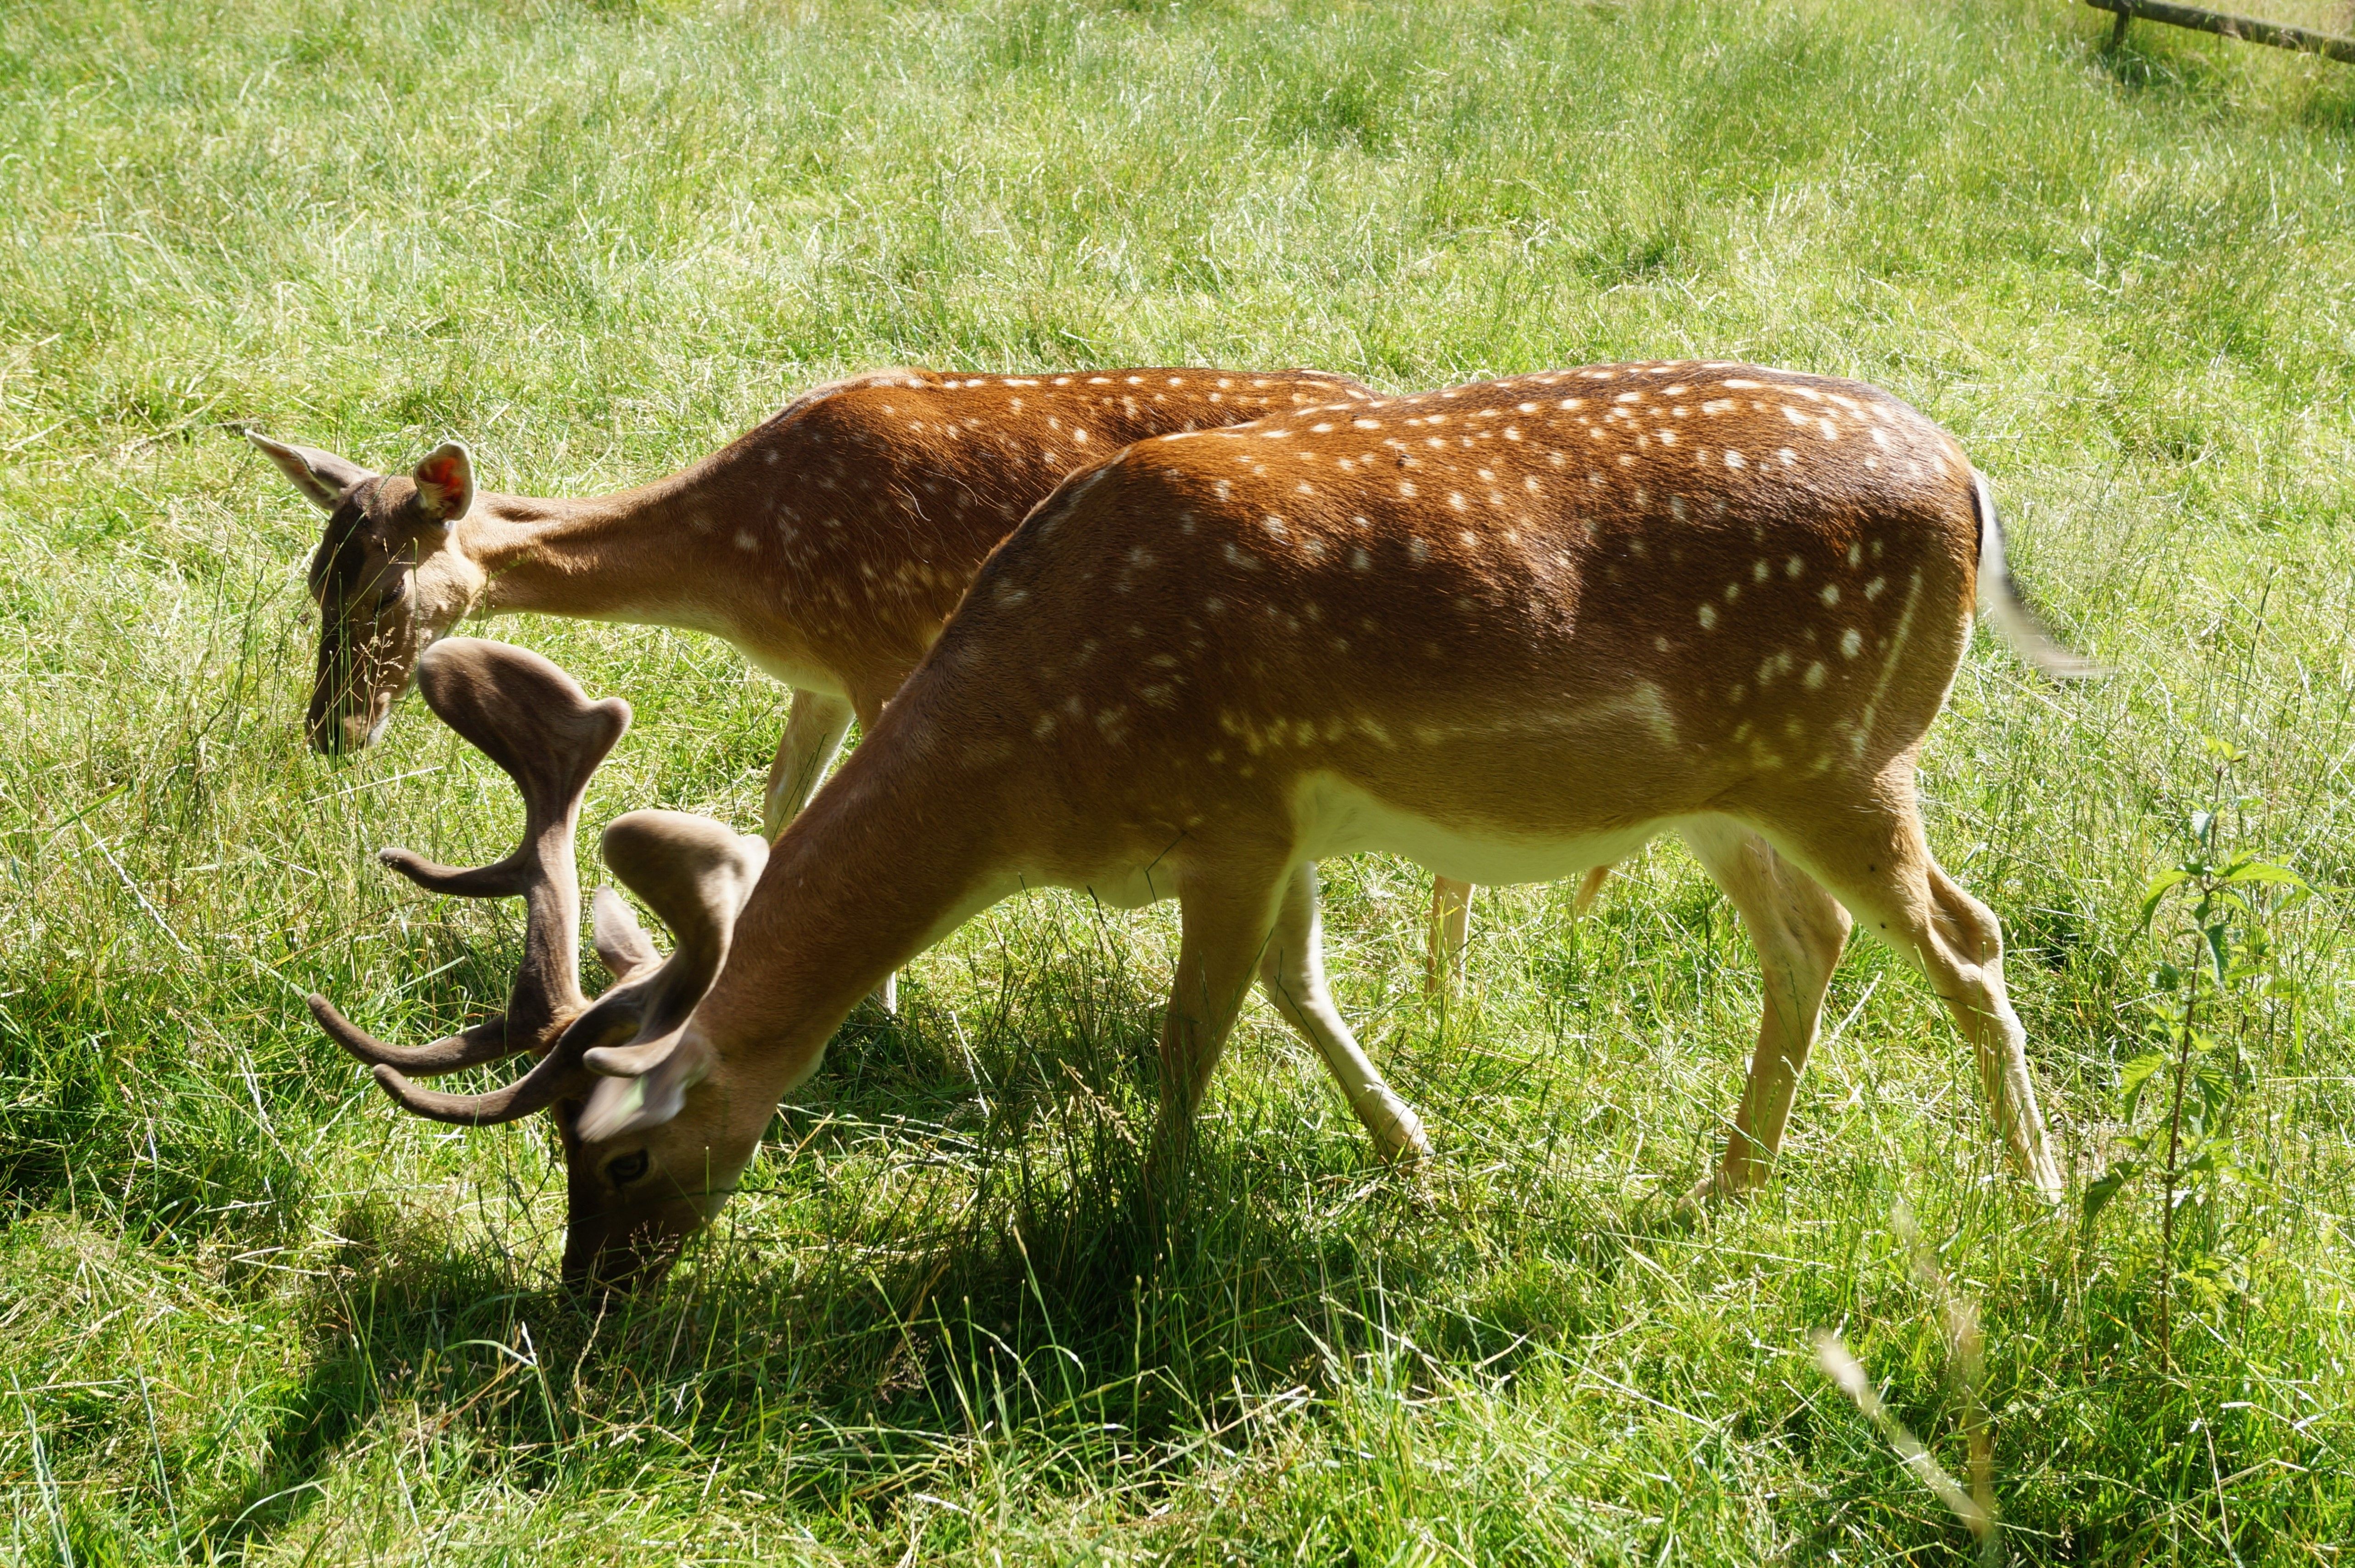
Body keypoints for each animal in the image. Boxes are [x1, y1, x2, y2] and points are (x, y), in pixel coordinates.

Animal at [312, 360, 2096, 1294]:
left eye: (613, 1159)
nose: (583, 1303)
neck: (1038, 776)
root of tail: (1974, 480)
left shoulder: (1234, 812)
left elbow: (1198, 1034)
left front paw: (1150, 1220)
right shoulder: (1287, 828)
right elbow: (1306, 992)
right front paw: (1418, 1161)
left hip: (1845, 751)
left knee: (1965, 937)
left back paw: (2041, 1194)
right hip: (1728, 790)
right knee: (1811, 941)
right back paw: (1728, 1184)